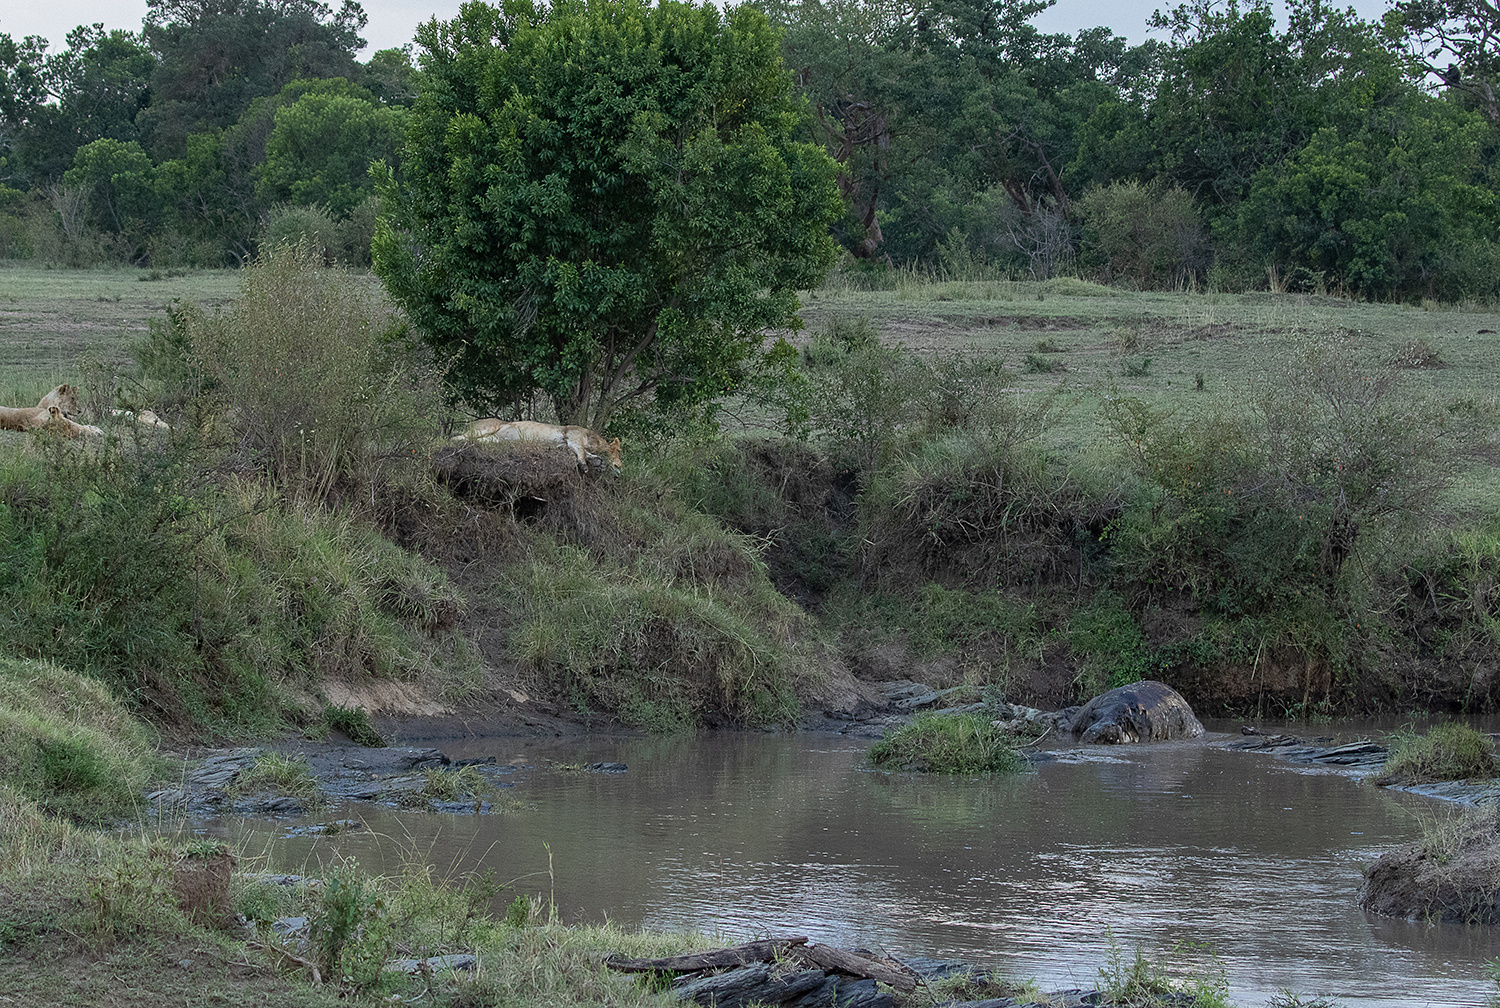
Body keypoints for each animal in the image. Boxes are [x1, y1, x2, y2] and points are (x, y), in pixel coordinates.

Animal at [453, 417, 624, 474]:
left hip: (492, 439)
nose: (620, 466)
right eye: (618, 451)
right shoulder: (573, 437)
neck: (592, 439)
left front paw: (598, 462)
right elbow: (581, 452)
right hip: (486, 428)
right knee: (456, 437)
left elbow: (585, 453)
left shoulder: (564, 444)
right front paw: (586, 466)